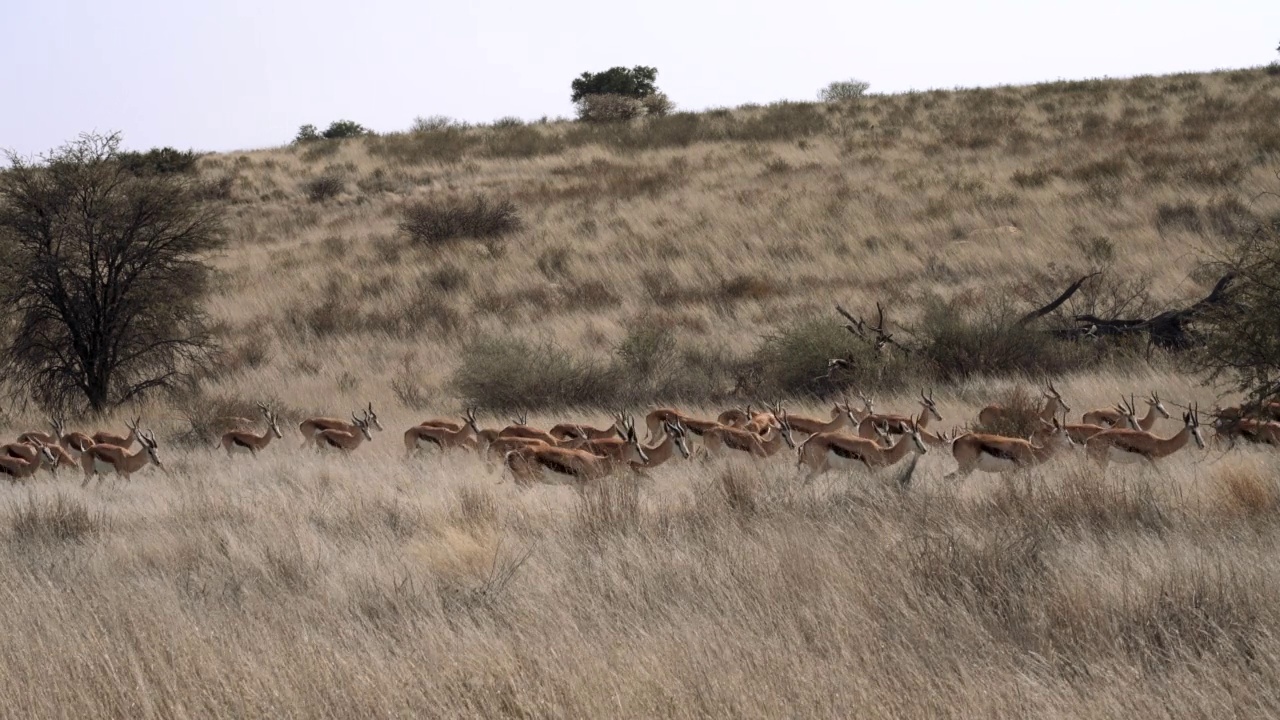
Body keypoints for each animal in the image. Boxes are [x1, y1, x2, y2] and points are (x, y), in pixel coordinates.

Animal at [793, 412, 926, 479]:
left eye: (920, 437)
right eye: (914, 437)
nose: (924, 450)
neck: (880, 451)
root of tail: (808, 441)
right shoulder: (871, 473)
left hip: (823, 468)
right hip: (816, 469)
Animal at [947, 412, 1075, 479]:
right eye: (1066, 434)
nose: (1072, 445)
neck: (1032, 450)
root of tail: (956, 440)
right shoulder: (1018, 471)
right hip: (966, 468)